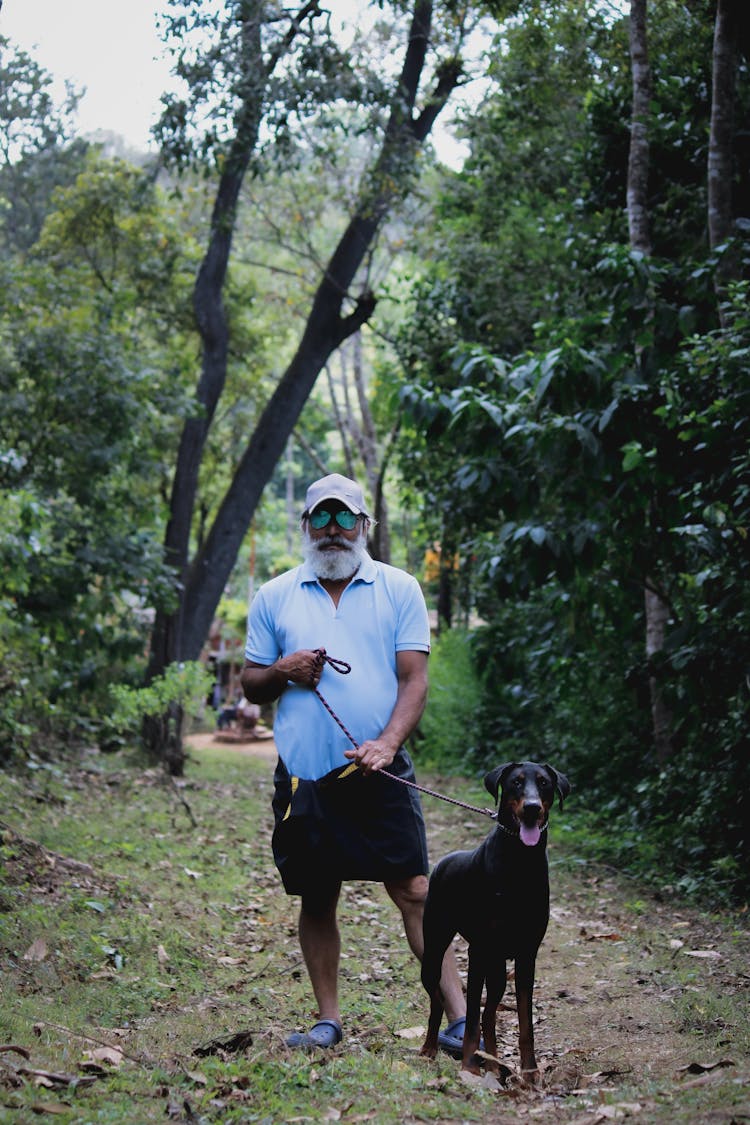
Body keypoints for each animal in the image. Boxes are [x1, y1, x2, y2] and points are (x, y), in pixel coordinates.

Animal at [422, 765, 568, 1080]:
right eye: (516, 782)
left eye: (544, 783)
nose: (532, 807)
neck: (520, 859)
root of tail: (443, 862)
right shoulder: (478, 950)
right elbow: (471, 1016)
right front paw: (468, 1067)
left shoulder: (527, 955)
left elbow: (525, 1022)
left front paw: (530, 1072)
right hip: (435, 948)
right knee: (438, 1001)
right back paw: (430, 1049)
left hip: (498, 967)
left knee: (490, 1014)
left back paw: (492, 1063)